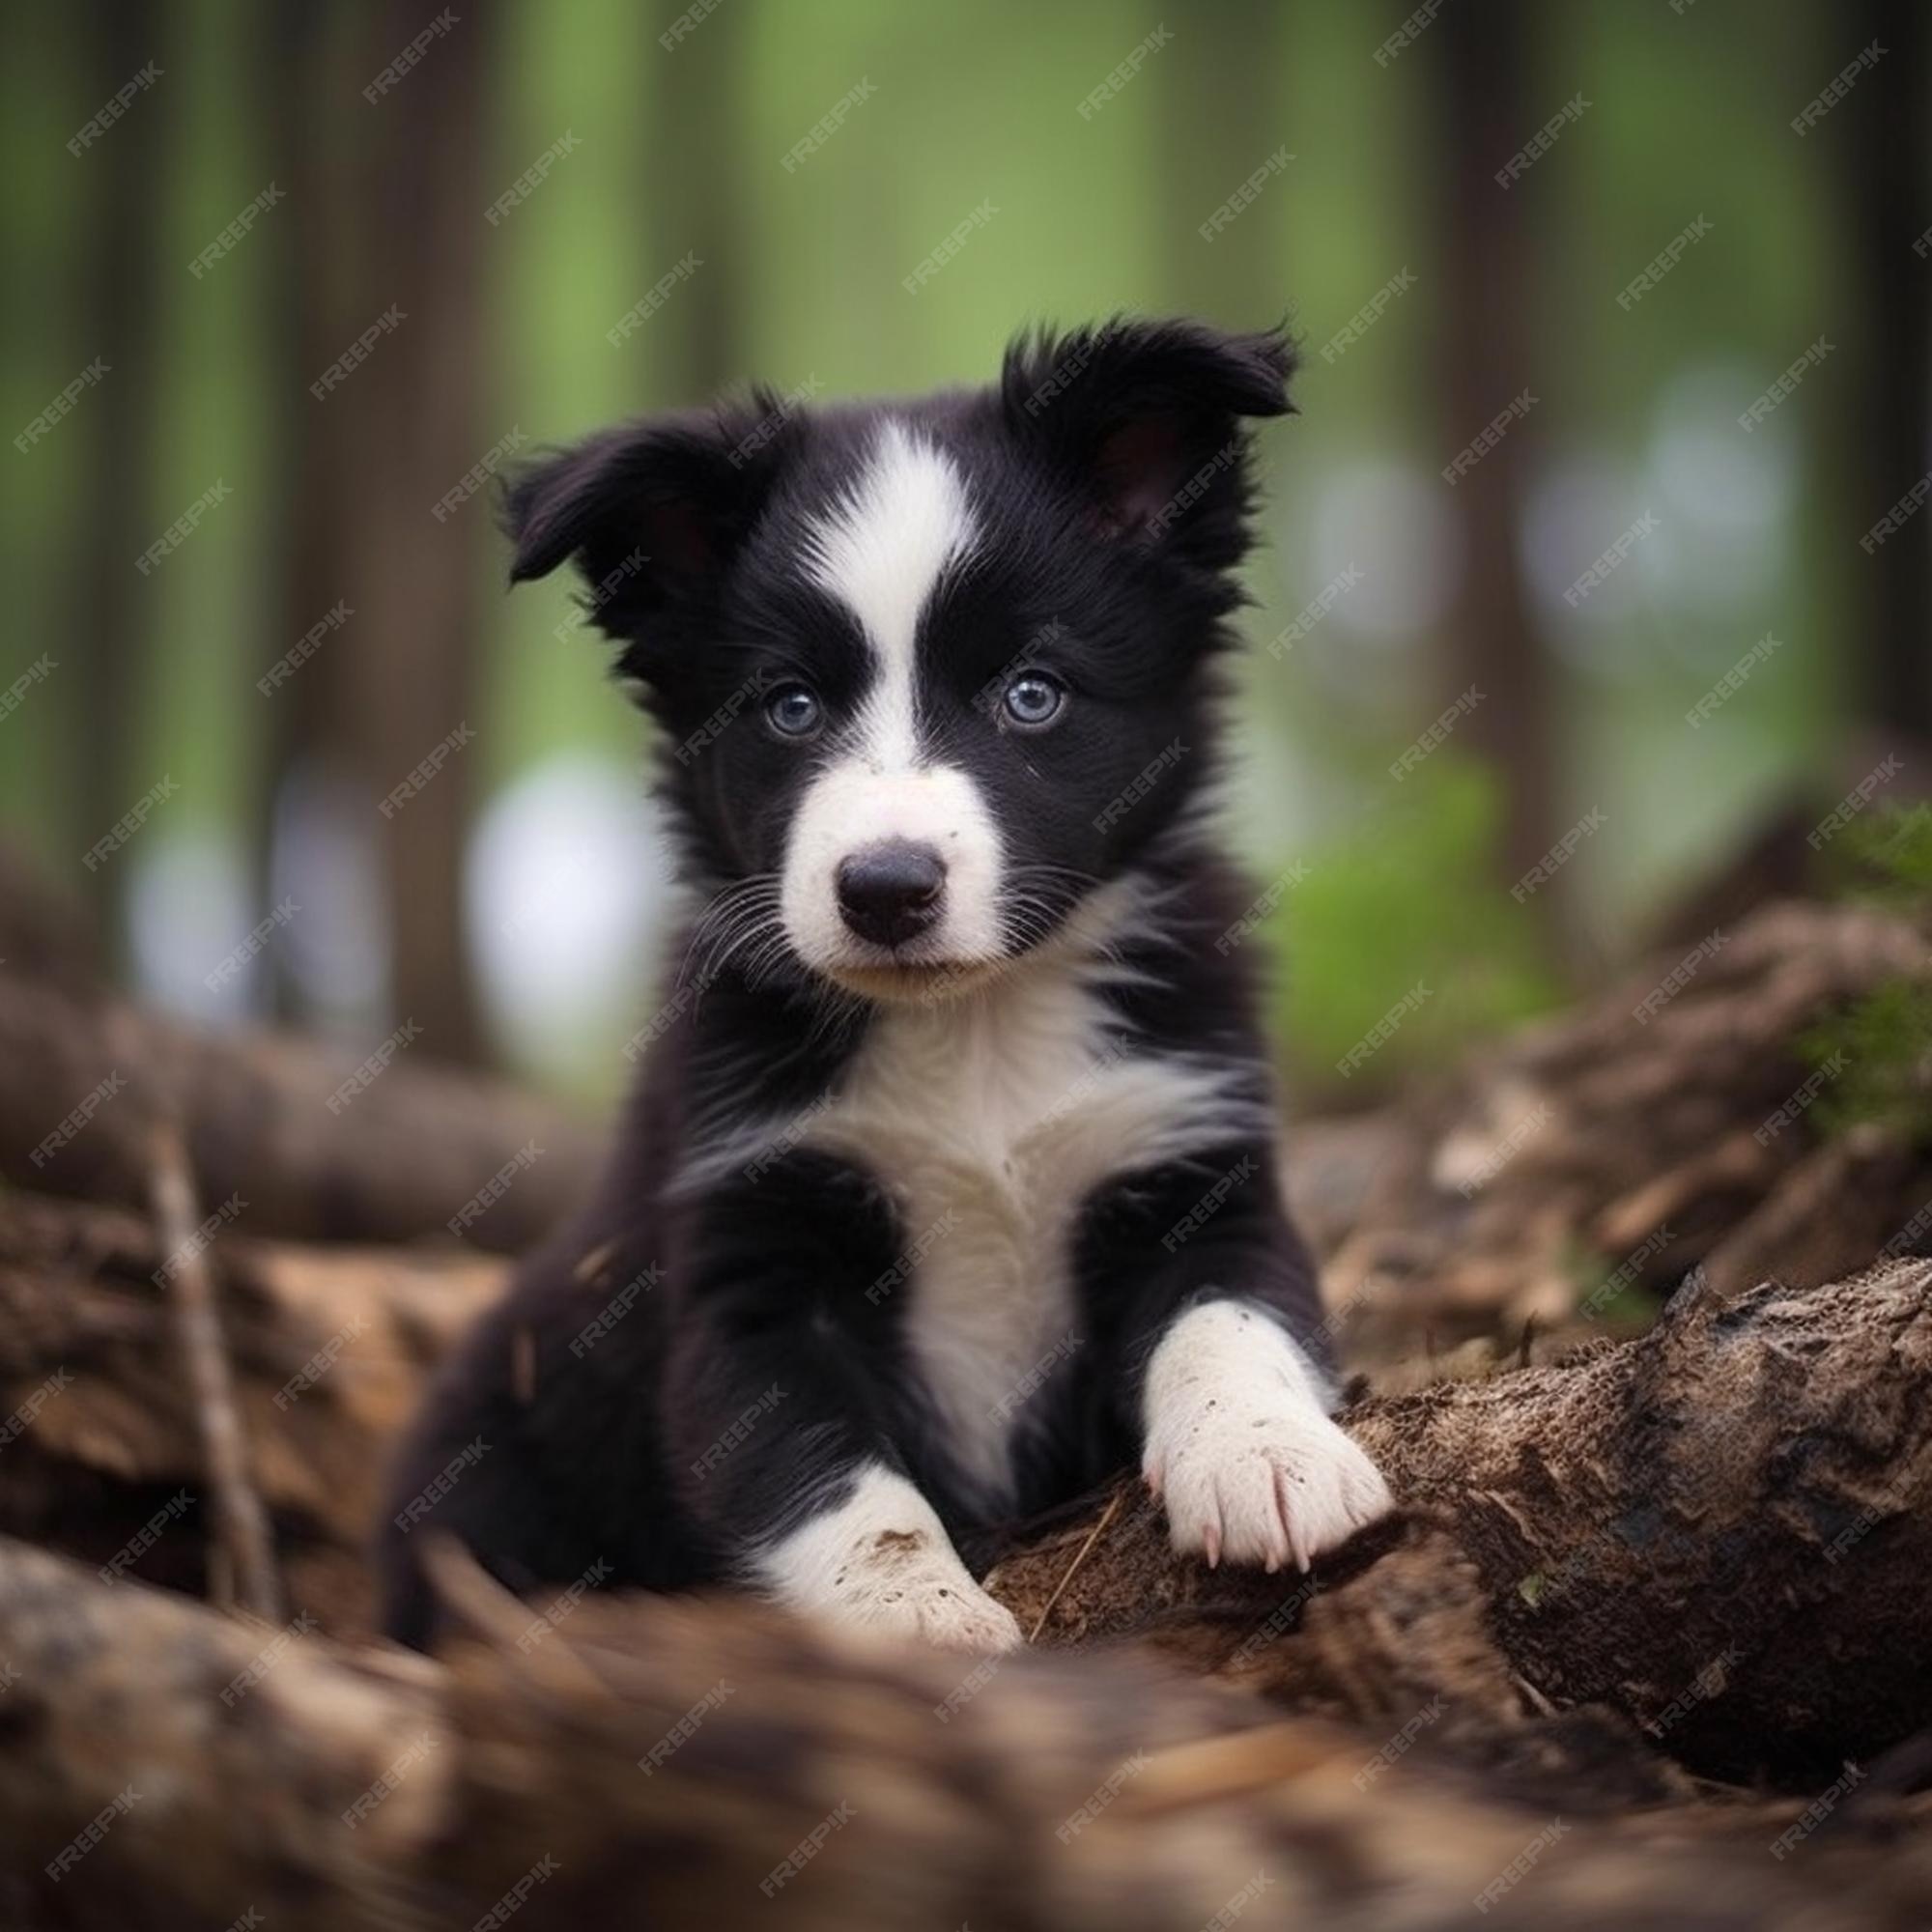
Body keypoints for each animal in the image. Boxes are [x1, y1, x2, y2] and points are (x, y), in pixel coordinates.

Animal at [377, 313, 1399, 1646]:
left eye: (1031, 693)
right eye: (789, 706)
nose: (886, 885)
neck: (973, 1033)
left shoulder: (1191, 1157)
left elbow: (1230, 1317)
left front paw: (1270, 1457)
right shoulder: (753, 1259)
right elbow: (826, 1474)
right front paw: (915, 1614)